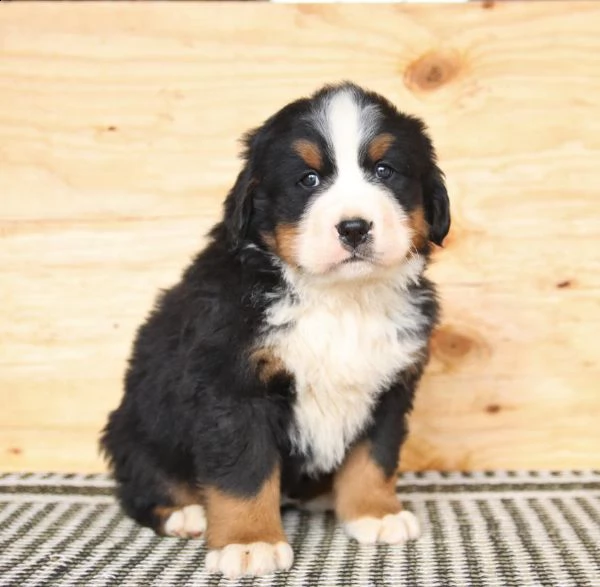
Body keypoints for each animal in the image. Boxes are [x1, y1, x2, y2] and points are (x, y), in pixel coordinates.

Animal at [102, 81, 450, 580]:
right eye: (308, 179)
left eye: (385, 171)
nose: (354, 228)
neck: (338, 299)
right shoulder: (233, 388)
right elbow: (244, 473)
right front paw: (250, 543)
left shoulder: (388, 386)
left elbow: (374, 457)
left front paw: (374, 513)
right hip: (135, 426)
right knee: (143, 483)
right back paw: (185, 512)